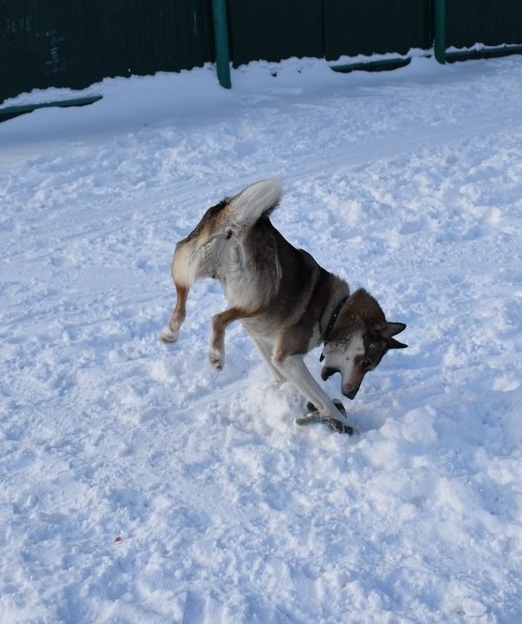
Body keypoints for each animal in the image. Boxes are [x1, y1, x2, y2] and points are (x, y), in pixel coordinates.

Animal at [159, 180, 406, 432]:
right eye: (366, 363)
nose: (351, 395)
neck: (334, 313)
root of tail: (240, 224)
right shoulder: (288, 358)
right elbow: (323, 399)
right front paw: (342, 422)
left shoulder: (260, 336)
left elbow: (282, 378)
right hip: (260, 297)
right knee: (216, 318)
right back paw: (216, 355)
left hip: (193, 261)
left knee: (184, 295)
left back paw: (171, 331)